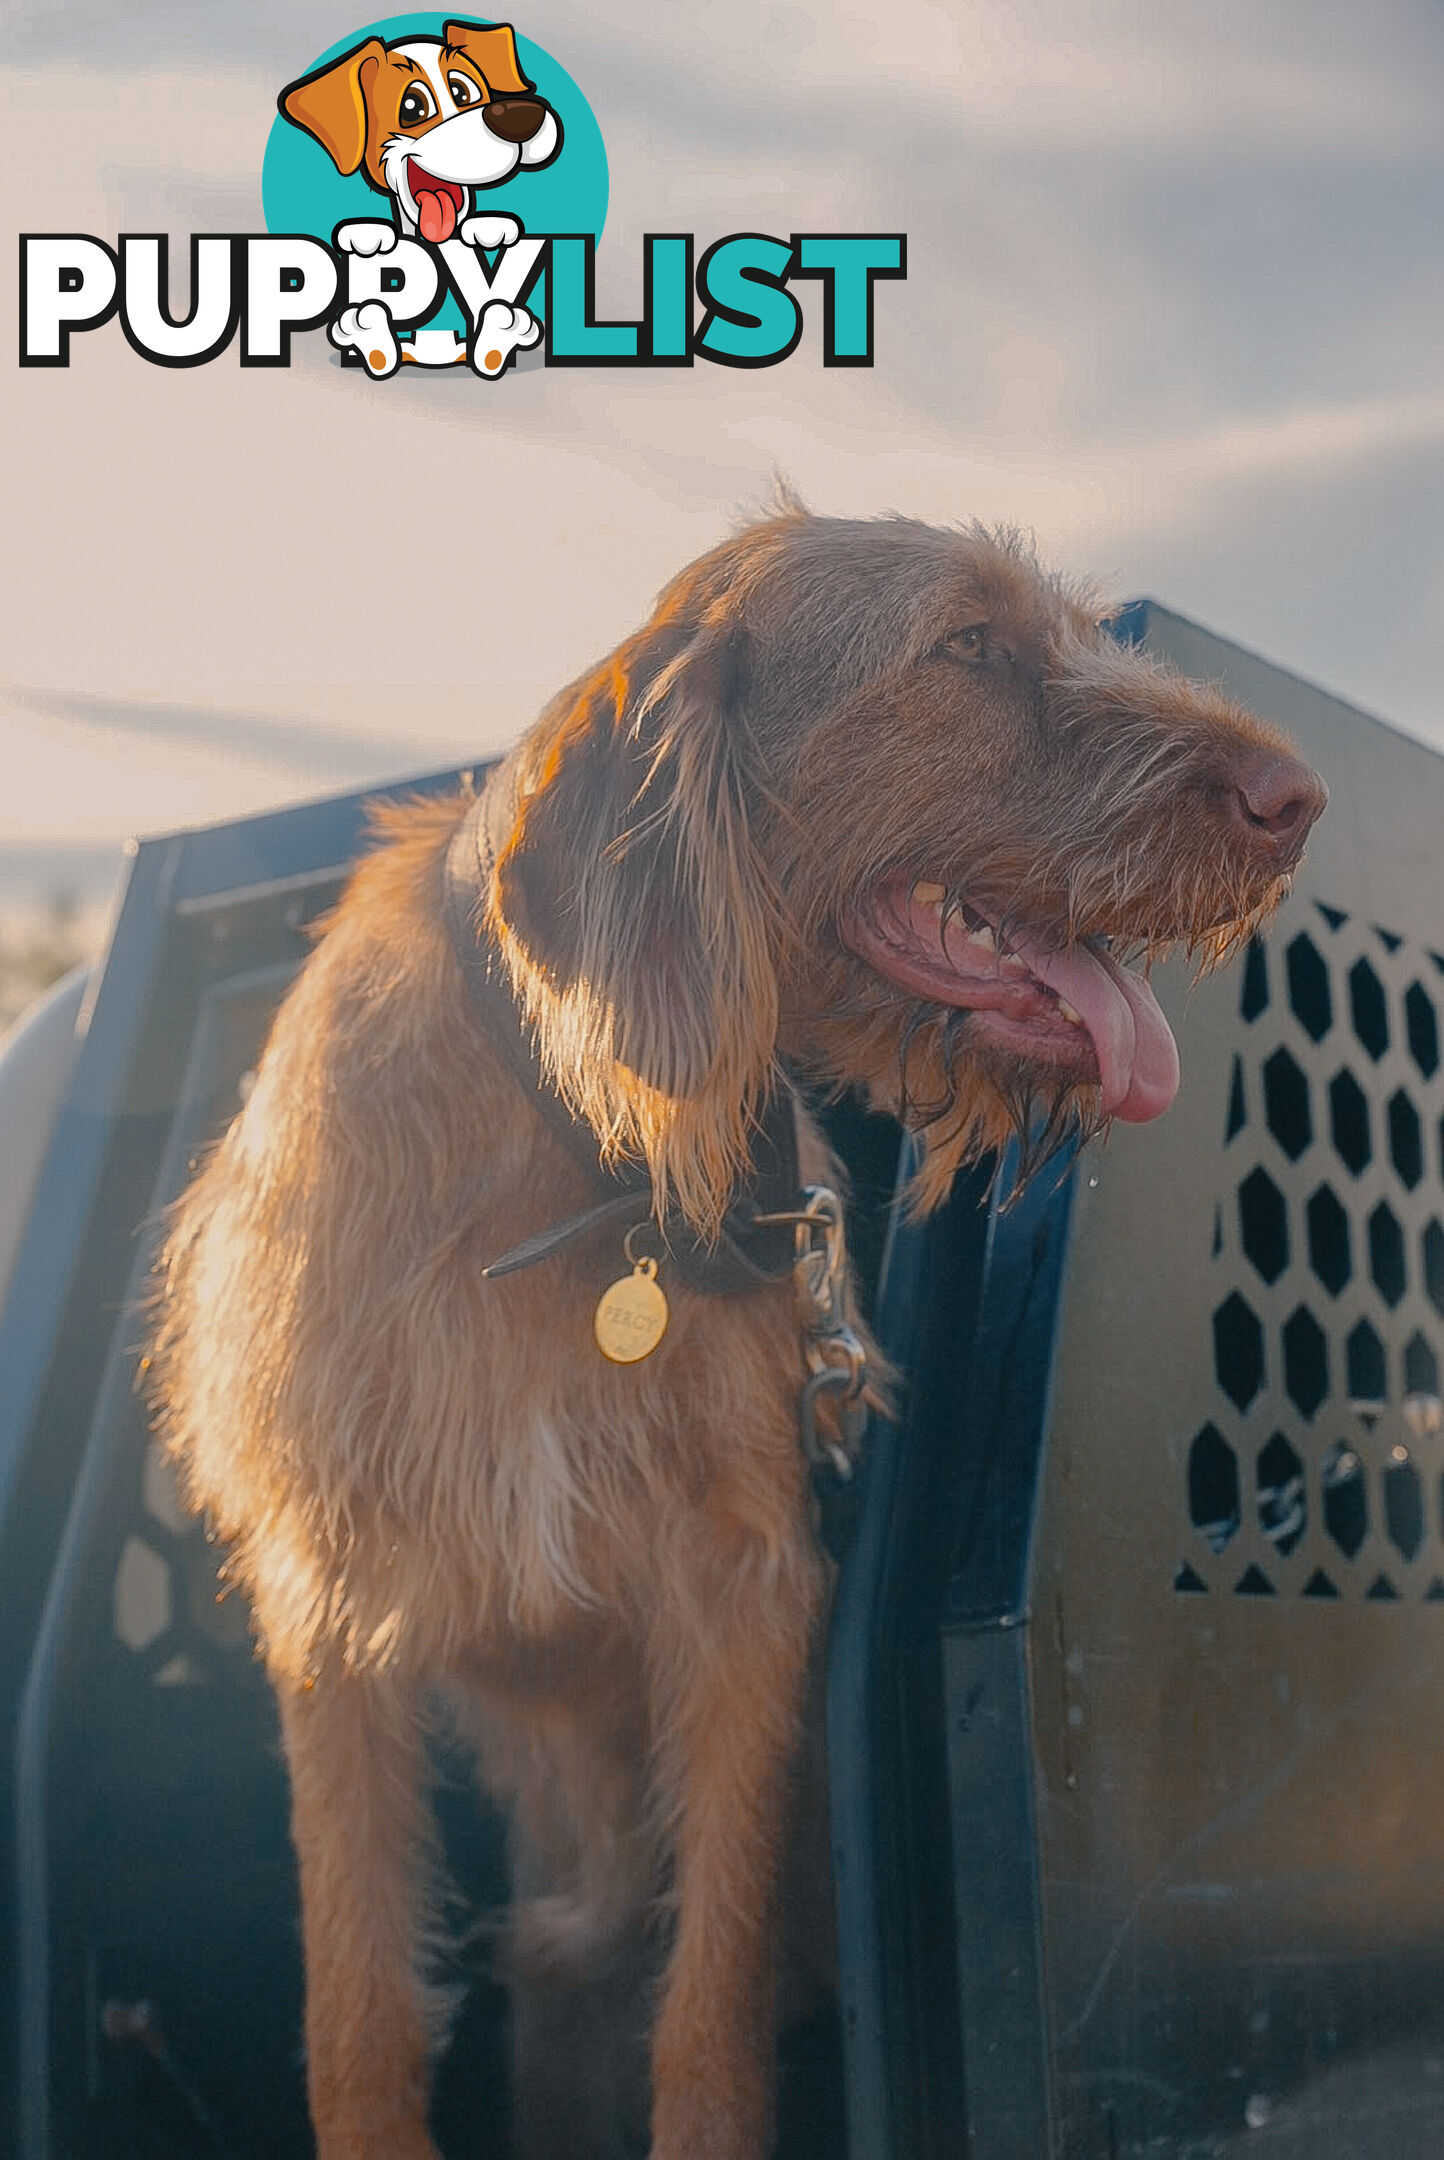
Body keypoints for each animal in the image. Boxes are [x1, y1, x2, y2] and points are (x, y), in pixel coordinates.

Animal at [148, 509, 1329, 2160]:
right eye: (967, 645)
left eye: (1079, 631)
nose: (1300, 798)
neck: (573, 1144)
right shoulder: (333, 1604)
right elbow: (358, 2013)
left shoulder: (740, 1585)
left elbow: (708, 2005)